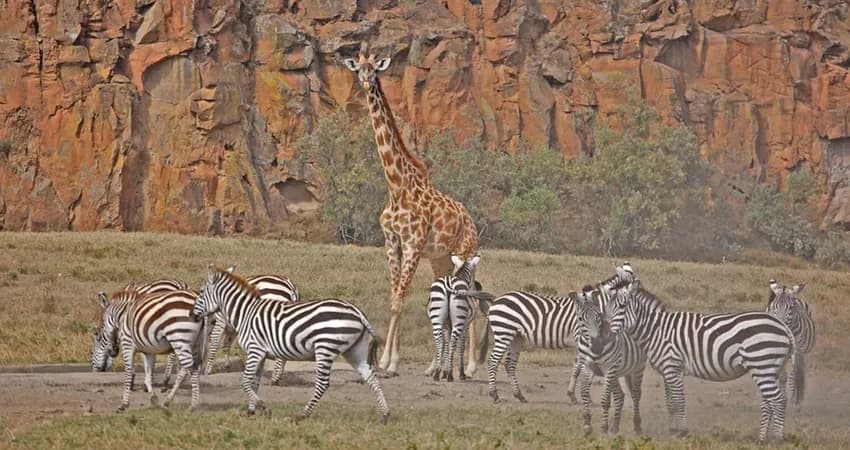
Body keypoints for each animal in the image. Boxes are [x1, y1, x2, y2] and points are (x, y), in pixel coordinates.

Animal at [189, 265, 389, 423]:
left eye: (201, 292)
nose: (191, 315)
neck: (245, 312)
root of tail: (356, 311)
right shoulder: (261, 353)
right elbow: (254, 382)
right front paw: (251, 410)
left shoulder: (254, 350)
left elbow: (245, 381)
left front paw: (264, 409)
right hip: (354, 350)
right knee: (371, 377)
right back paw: (385, 415)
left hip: (325, 348)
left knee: (322, 383)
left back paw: (302, 415)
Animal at [344, 49, 481, 376]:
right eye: (358, 67)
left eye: (374, 68)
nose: (366, 81)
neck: (396, 186)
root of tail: (471, 220)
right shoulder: (392, 242)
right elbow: (395, 297)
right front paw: (388, 360)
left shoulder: (413, 244)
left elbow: (399, 300)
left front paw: (388, 362)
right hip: (441, 259)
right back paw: (434, 366)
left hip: (466, 252)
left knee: (471, 297)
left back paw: (470, 367)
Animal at [426, 253, 487, 382]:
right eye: (473, 274)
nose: (477, 286)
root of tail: (448, 283)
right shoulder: (465, 325)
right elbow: (461, 346)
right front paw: (459, 373)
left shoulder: (446, 326)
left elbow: (446, 344)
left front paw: (443, 372)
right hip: (459, 321)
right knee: (454, 342)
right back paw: (450, 375)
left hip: (437, 320)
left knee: (439, 341)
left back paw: (437, 374)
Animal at [574, 285, 646, 435]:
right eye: (580, 319)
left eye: (599, 316)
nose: (596, 347)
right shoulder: (587, 366)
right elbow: (584, 393)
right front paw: (587, 423)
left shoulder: (609, 368)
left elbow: (605, 400)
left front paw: (603, 427)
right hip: (617, 372)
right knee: (620, 395)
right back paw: (615, 426)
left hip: (637, 368)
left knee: (636, 394)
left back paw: (637, 425)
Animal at [608, 279, 803, 443]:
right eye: (608, 308)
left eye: (623, 306)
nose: (608, 334)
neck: (655, 330)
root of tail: (783, 326)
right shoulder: (668, 370)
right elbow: (670, 402)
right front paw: (673, 431)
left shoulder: (672, 366)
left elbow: (679, 401)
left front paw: (682, 432)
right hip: (771, 369)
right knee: (769, 402)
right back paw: (761, 439)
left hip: (762, 365)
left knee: (778, 400)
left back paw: (777, 439)